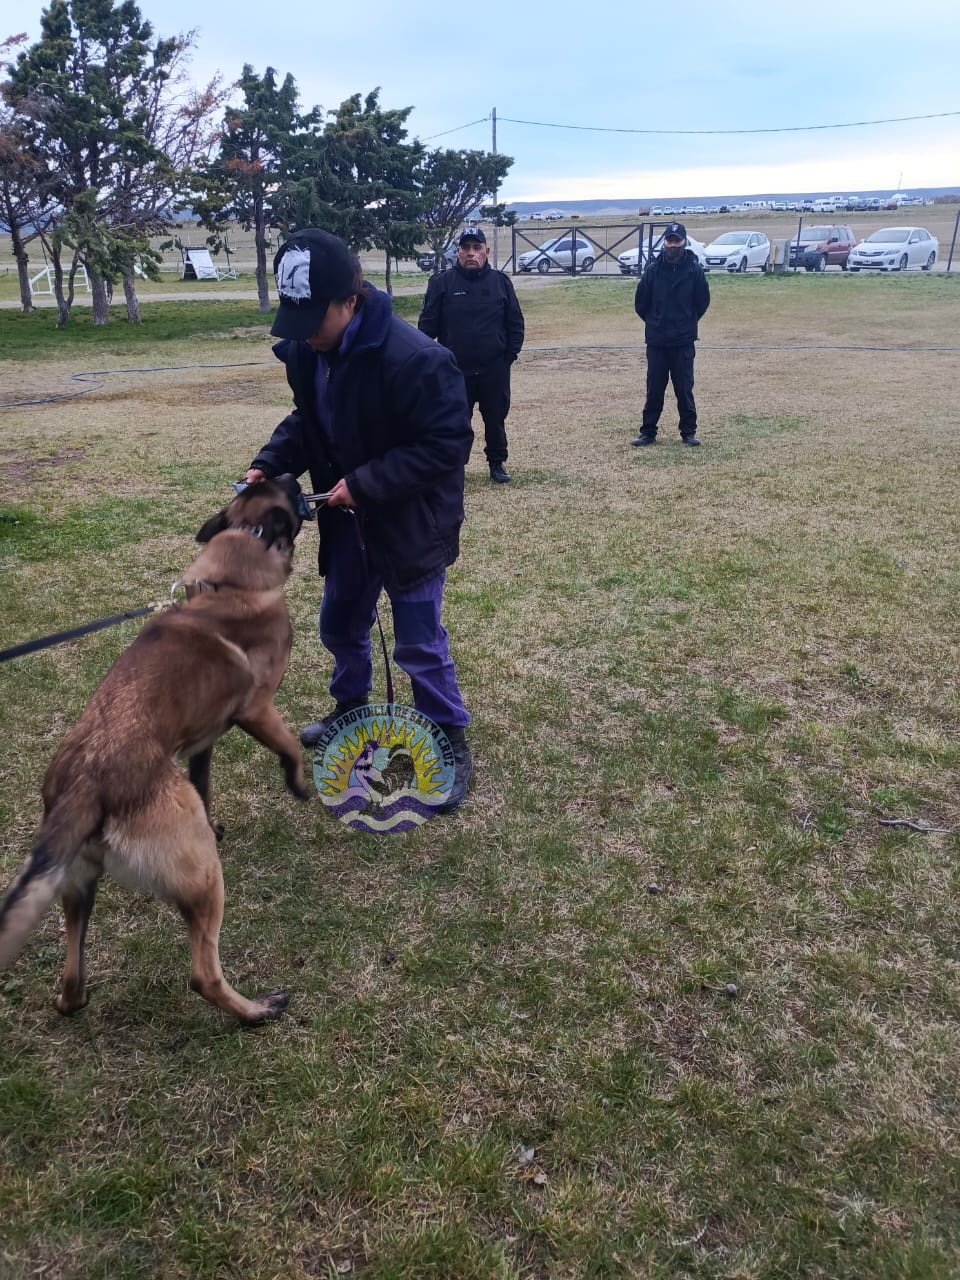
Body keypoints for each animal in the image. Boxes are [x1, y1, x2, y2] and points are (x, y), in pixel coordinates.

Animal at [0, 476, 309, 1024]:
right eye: (286, 487)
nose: (297, 477)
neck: (232, 581)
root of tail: (83, 785)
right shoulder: (258, 709)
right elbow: (290, 744)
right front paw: (299, 784)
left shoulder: (204, 740)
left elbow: (205, 781)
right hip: (203, 877)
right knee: (203, 973)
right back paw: (256, 1011)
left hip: (78, 886)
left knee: (72, 976)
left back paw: (70, 999)